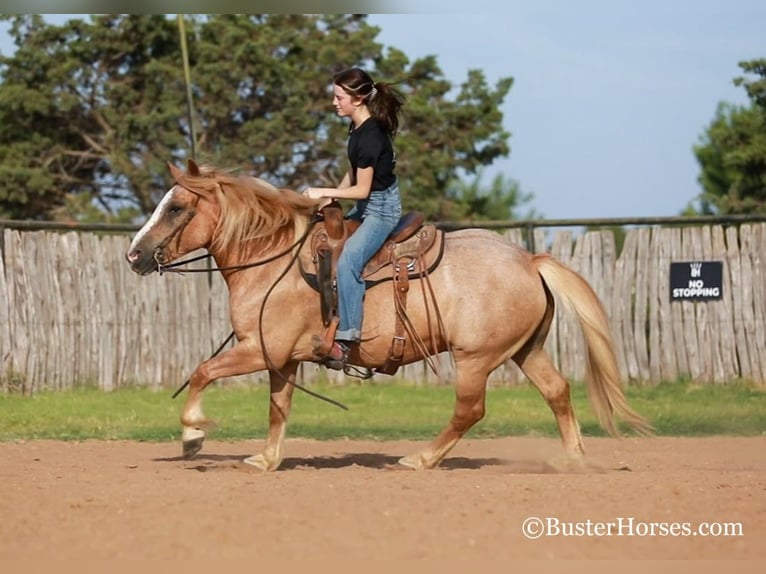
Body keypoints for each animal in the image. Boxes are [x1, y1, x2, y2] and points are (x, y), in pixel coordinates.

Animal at [127, 161, 656, 472]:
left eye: (175, 207)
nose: (134, 255)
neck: (274, 260)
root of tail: (529, 260)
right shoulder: (282, 359)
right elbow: (279, 408)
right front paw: (266, 458)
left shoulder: (258, 349)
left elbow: (202, 372)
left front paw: (193, 435)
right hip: (525, 350)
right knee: (557, 391)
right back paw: (574, 459)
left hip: (475, 358)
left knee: (470, 410)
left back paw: (421, 459)